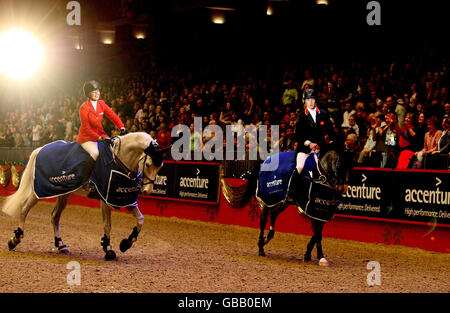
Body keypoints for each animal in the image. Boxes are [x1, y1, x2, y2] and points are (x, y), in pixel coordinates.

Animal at [2, 132, 163, 260]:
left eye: (160, 166)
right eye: (148, 164)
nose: (147, 191)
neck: (119, 160)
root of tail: (40, 149)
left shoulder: (123, 199)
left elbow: (140, 219)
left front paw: (126, 243)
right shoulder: (105, 199)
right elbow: (107, 225)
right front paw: (108, 249)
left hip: (64, 193)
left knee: (54, 217)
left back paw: (61, 245)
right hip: (41, 191)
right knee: (24, 208)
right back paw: (15, 239)